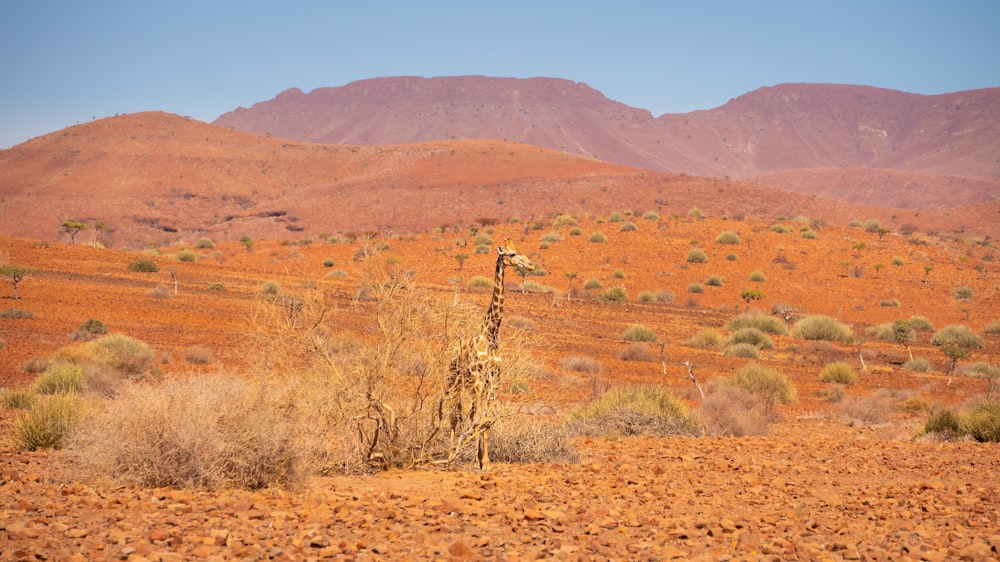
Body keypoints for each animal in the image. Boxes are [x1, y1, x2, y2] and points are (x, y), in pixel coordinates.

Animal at [448, 236, 536, 468]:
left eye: (522, 250)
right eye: (511, 254)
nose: (531, 266)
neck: (491, 333)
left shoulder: (494, 381)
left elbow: (486, 421)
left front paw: (485, 461)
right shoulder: (480, 382)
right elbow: (477, 419)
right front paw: (474, 461)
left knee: (464, 414)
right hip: (453, 382)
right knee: (455, 416)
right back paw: (450, 457)